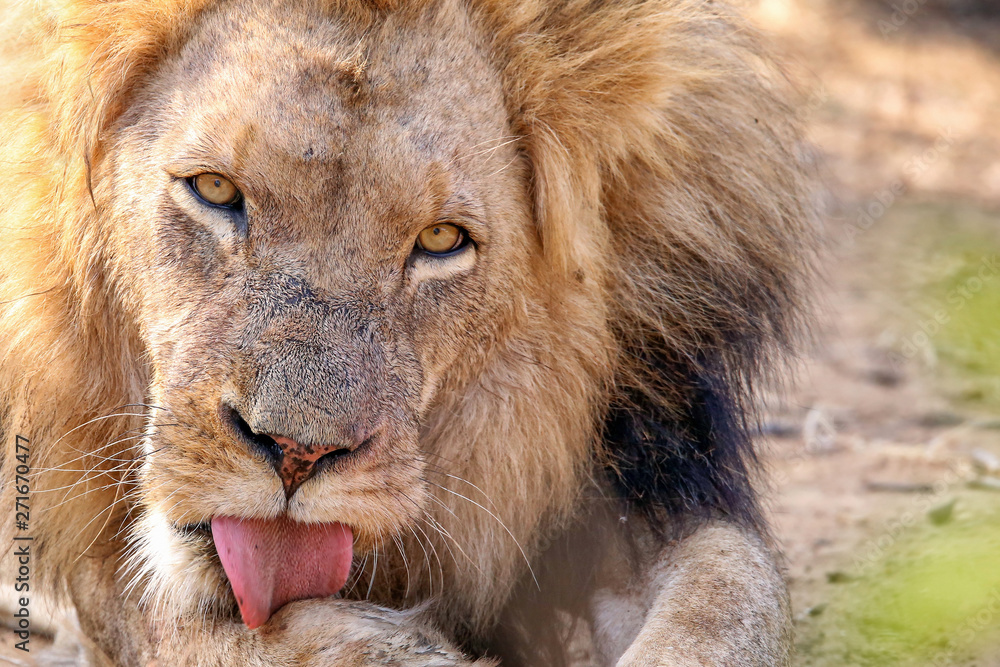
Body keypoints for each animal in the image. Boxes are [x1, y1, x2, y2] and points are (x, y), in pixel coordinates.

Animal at [0, 0, 815, 665]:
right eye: (215, 190)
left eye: (441, 240)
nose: (295, 453)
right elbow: (183, 628)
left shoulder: (639, 470)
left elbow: (731, 594)